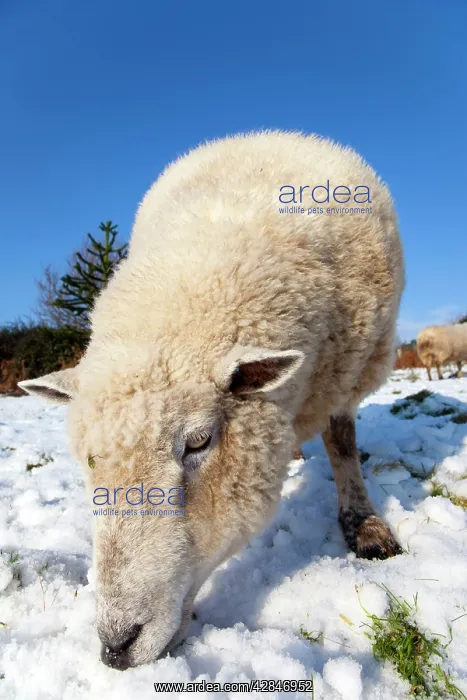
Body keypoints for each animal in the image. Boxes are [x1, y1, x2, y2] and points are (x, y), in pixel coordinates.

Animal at [19, 130, 405, 669]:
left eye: (199, 442)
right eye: (89, 460)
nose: (116, 646)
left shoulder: (346, 376)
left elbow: (343, 443)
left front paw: (366, 526)